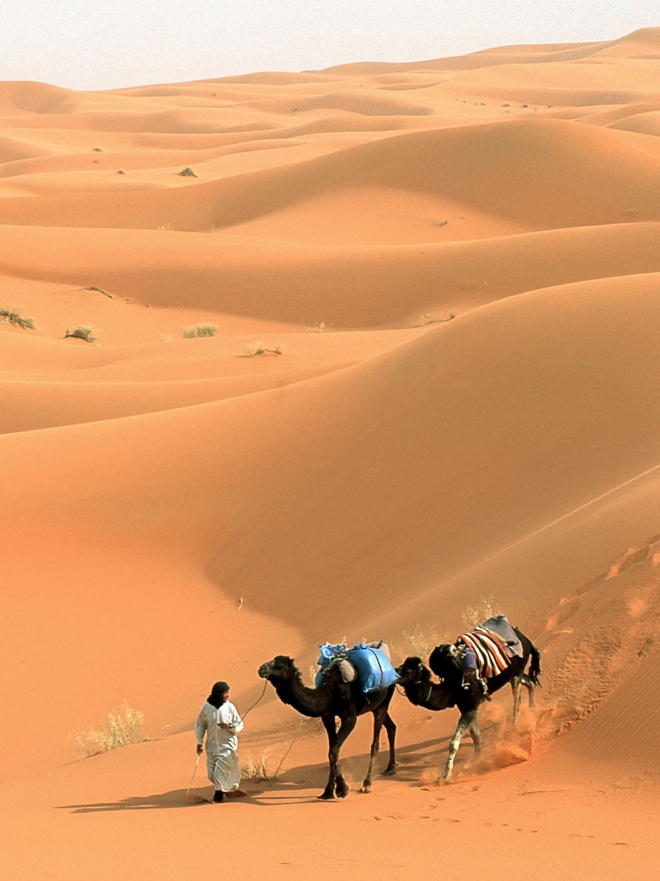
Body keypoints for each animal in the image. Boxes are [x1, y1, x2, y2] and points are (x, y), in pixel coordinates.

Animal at [255, 652, 394, 796]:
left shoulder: (350, 718)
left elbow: (333, 752)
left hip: (383, 701)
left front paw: (342, 789)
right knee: (391, 726)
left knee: (375, 744)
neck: (330, 693)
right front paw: (329, 791)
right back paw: (390, 769)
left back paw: (367, 783)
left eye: (279, 665)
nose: (261, 669)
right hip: (375, 706)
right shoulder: (327, 716)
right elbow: (332, 750)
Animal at [394, 624, 540, 784]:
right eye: (401, 665)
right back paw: (533, 714)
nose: (393, 672)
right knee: (530, 682)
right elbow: (475, 734)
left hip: (517, 672)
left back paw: (516, 728)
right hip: (513, 674)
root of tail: (525, 638)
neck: (452, 685)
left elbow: (454, 742)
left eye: (407, 670)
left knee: (517, 701)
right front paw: (477, 760)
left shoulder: (470, 706)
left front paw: (445, 777)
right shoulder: (465, 707)